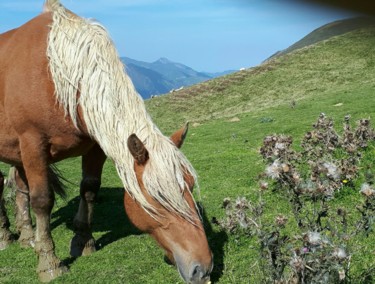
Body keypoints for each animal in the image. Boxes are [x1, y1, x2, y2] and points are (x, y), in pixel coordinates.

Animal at [0, 1, 213, 282]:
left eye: (189, 186)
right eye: (158, 199)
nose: (203, 268)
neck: (57, 74)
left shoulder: (95, 146)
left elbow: (89, 189)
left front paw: (83, 242)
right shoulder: (33, 145)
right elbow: (42, 200)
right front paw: (49, 263)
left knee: (19, 187)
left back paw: (26, 237)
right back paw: (6, 237)